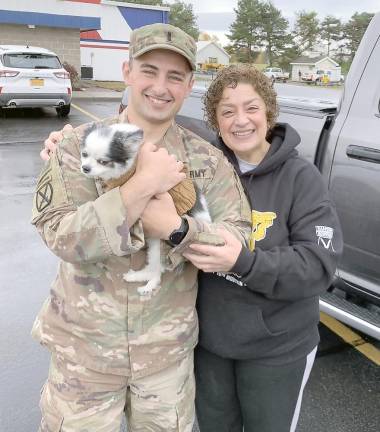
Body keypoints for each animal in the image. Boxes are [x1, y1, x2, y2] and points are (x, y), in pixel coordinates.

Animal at [81, 123, 211, 296]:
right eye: (84, 154)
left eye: (103, 161)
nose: (85, 168)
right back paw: (135, 277)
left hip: (160, 245)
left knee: (157, 271)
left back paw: (147, 286)